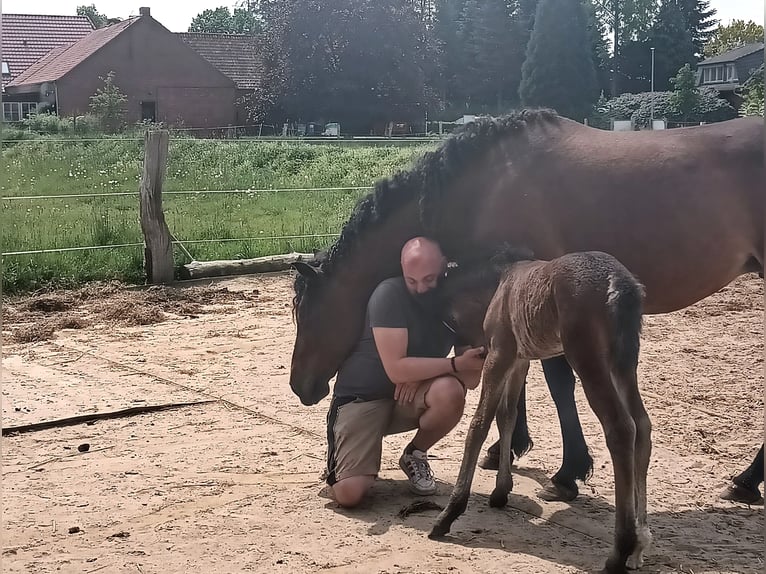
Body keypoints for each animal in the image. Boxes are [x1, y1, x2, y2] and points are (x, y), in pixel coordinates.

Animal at [289, 109, 763, 500]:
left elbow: (555, 383)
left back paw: (745, 481)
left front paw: (567, 472)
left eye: (308, 313)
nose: (301, 387)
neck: (484, 187)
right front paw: (510, 447)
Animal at [428, 247, 650, 573]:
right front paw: (500, 491)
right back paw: (640, 544)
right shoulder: (519, 358)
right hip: (623, 362)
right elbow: (507, 415)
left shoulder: (499, 353)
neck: (500, 281)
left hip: (588, 359)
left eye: (447, 320)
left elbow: (480, 423)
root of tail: (621, 283)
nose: (468, 356)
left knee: (621, 428)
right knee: (642, 425)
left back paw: (619, 552)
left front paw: (449, 514)